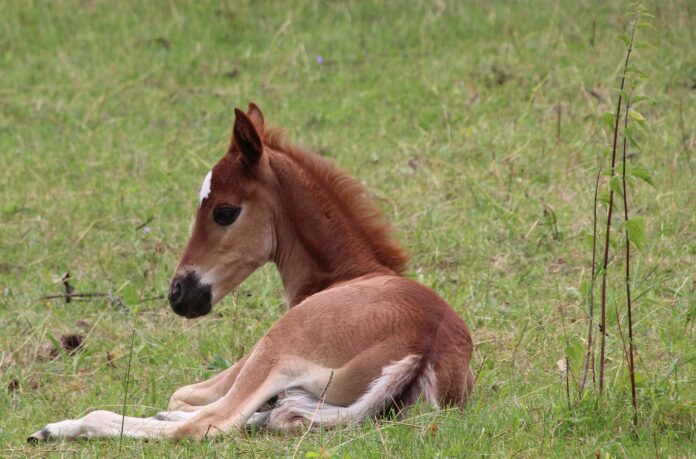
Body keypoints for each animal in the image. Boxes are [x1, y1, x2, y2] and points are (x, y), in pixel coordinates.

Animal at [29, 103, 474, 441]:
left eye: (224, 211)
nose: (179, 293)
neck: (350, 273)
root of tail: (422, 349)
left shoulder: (248, 362)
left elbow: (182, 397)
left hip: (273, 349)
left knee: (208, 424)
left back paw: (60, 428)